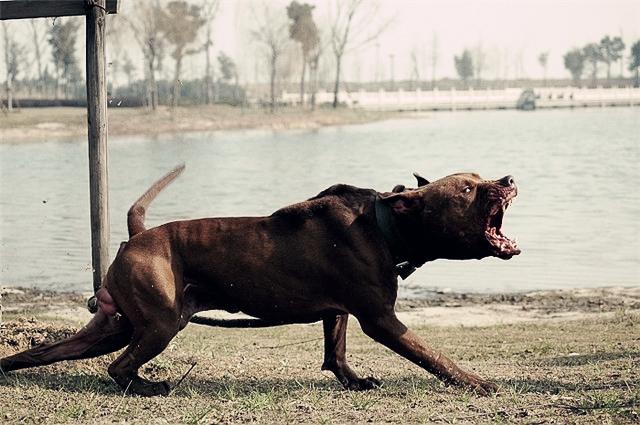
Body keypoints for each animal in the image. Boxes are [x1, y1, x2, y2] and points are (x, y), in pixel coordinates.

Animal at [0, 165, 520, 394]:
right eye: (468, 188)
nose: (509, 179)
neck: (385, 224)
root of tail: (138, 236)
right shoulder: (381, 320)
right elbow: (435, 357)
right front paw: (478, 383)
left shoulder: (340, 311)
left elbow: (336, 352)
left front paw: (353, 381)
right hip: (159, 325)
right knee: (118, 368)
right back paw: (149, 387)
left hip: (116, 326)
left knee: (46, 353)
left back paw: (8, 368)